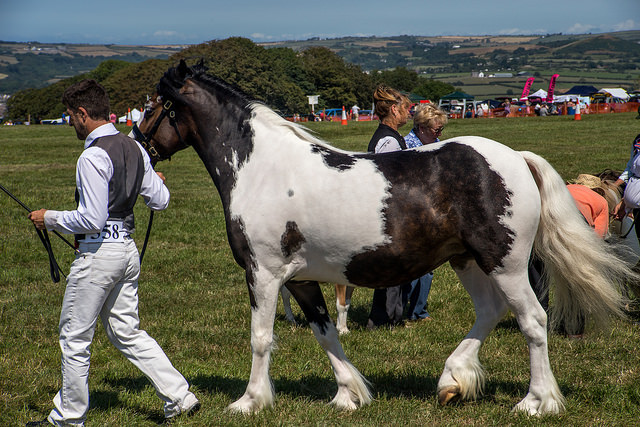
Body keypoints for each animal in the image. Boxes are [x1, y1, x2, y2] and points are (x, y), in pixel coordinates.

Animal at [132, 60, 632, 414]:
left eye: (154, 105)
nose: (138, 142)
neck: (261, 169)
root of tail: (515, 158)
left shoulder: (265, 274)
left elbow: (261, 338)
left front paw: (249, 401)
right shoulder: (301, 279)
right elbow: (325, 332)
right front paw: (349, 394)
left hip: (505, 263)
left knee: (532, 321)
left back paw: (536, 402)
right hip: (467, 261)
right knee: (490, 312)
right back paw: (452, 381)